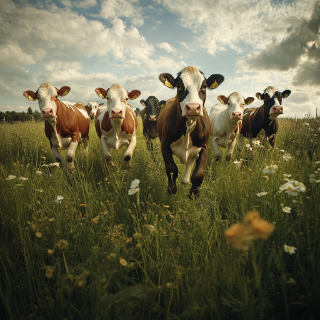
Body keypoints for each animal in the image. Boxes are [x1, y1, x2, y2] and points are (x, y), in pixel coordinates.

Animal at [157, 65, 222, 198]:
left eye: (204, 86)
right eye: (179, 86)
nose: (192, 107)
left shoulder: (204, 146)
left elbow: (198, 174)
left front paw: (194, 193)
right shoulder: (164, 144)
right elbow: (171, 169)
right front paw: (171, 189)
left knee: (190, 163)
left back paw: (185, 182)